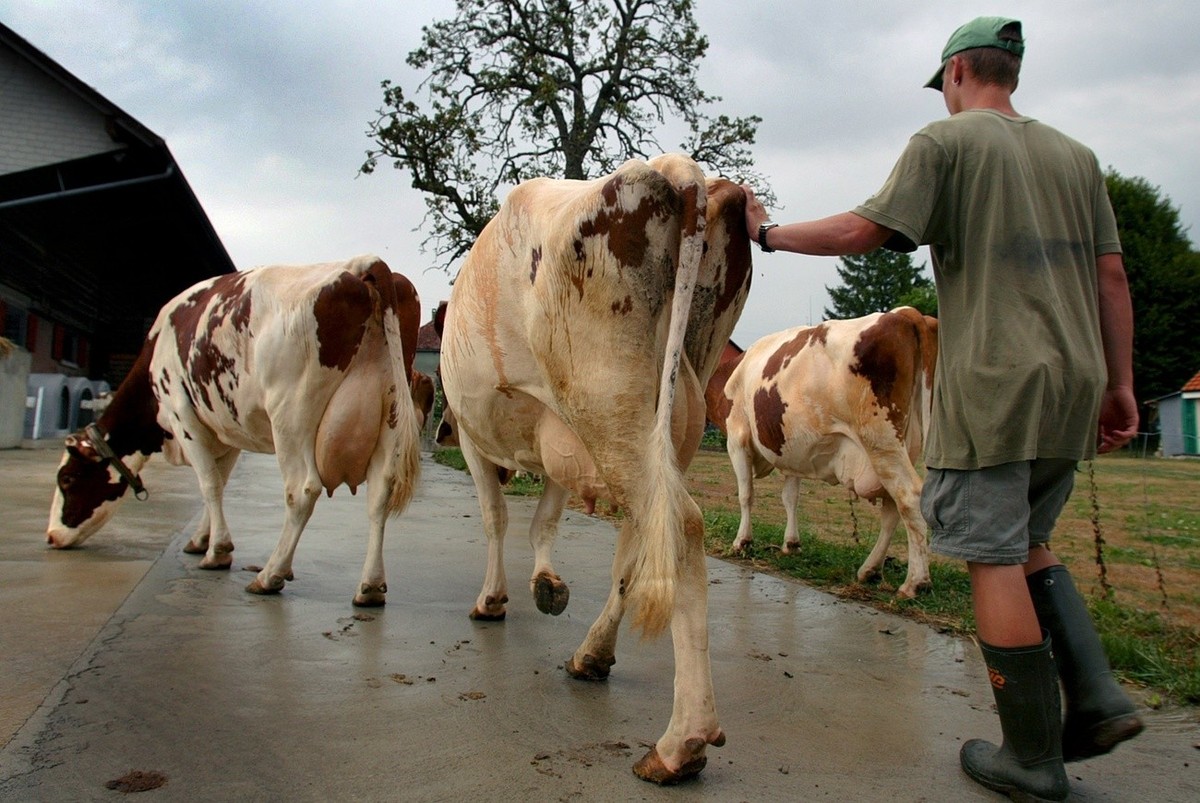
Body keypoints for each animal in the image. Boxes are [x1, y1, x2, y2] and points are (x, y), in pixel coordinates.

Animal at [46, 256, 423, 607]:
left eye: (67, 479)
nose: (50, 537)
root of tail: (362, 263)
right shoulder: (225, 431)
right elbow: (219, 482)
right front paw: (201, 540)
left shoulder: (184, 418)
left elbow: (209, 484)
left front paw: (218, 551)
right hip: (389, 416)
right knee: (380, 496)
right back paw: (370, 587)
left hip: (290, 416)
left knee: (302, 491)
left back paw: (270, 575)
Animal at [439, 154, 751, 784]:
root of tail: (671, 168)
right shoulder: (558, 446)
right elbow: (545, 520)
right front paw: (545, 584)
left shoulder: (469, 432)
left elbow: (495, 518)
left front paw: (492, 599)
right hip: (659, 422)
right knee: (641, 545)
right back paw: (593, 655)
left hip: (604, 403)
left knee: (680, 527)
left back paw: (680, 743)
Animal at [707, 308, 938, 599]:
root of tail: (904, 313)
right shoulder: (791, 450)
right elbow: (790, 498)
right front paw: (791, 544)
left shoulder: (737, 439)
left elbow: (745, 494)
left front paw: (742, 542)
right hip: (906, 444)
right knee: (892, 509)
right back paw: (870, 569)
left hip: (881, 440)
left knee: (908, 497)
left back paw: (914, 582)